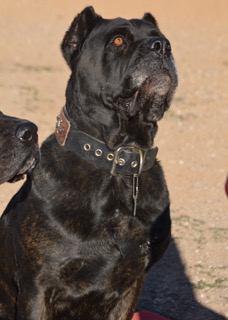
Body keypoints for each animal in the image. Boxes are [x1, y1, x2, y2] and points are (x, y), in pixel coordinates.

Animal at [0, 7, 178, 320]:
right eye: (118, 41)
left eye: (162, 39)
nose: (162, 47)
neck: (119, 158)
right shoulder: (38, 287)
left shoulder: (132, 283)